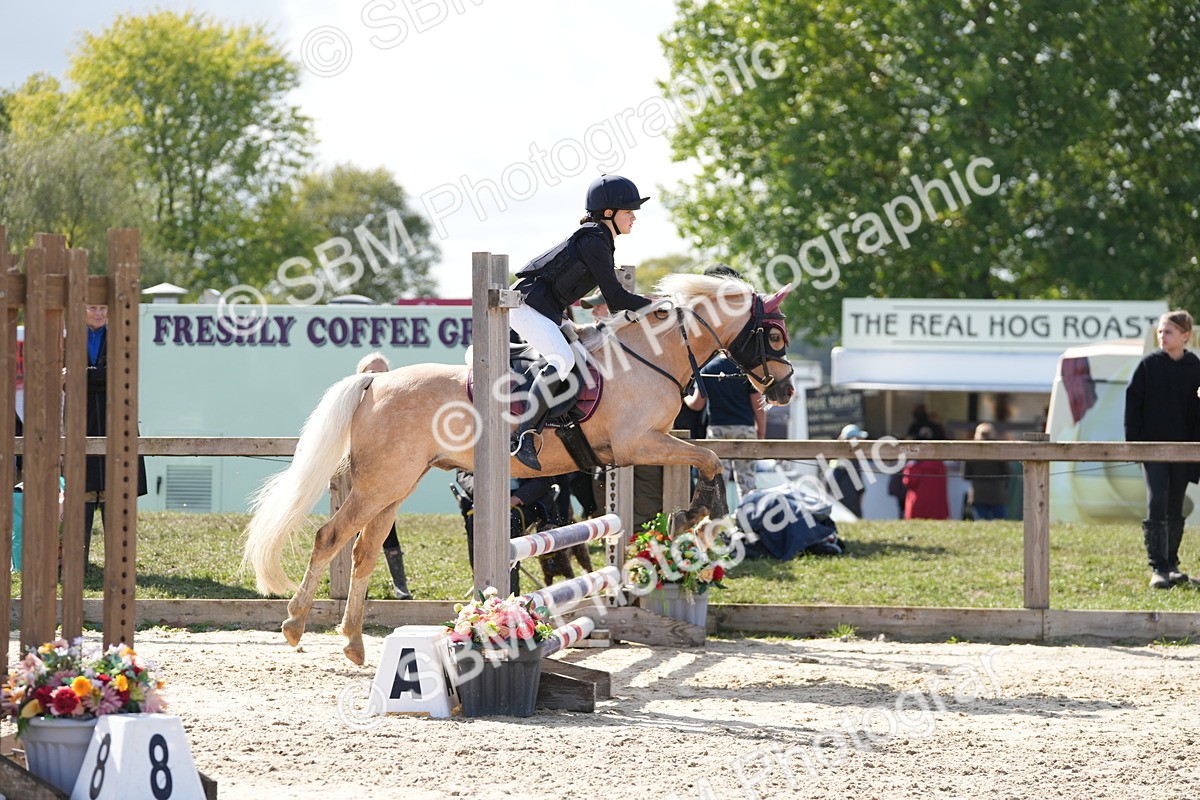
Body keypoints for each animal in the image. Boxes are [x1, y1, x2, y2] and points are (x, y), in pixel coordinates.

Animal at [243, 274, 797, 664]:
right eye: (774, 336)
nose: (786, 390)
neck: (649, 356)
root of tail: (374, 383)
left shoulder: (639, 449)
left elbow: (707, 459)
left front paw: (695, 516)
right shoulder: (640, 443)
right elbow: (709, 458)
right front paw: (699, 513)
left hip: (395, 486)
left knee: (364, 551)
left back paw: (354, 643)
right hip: (381, 484)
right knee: (330, 538)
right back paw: (294, 625)